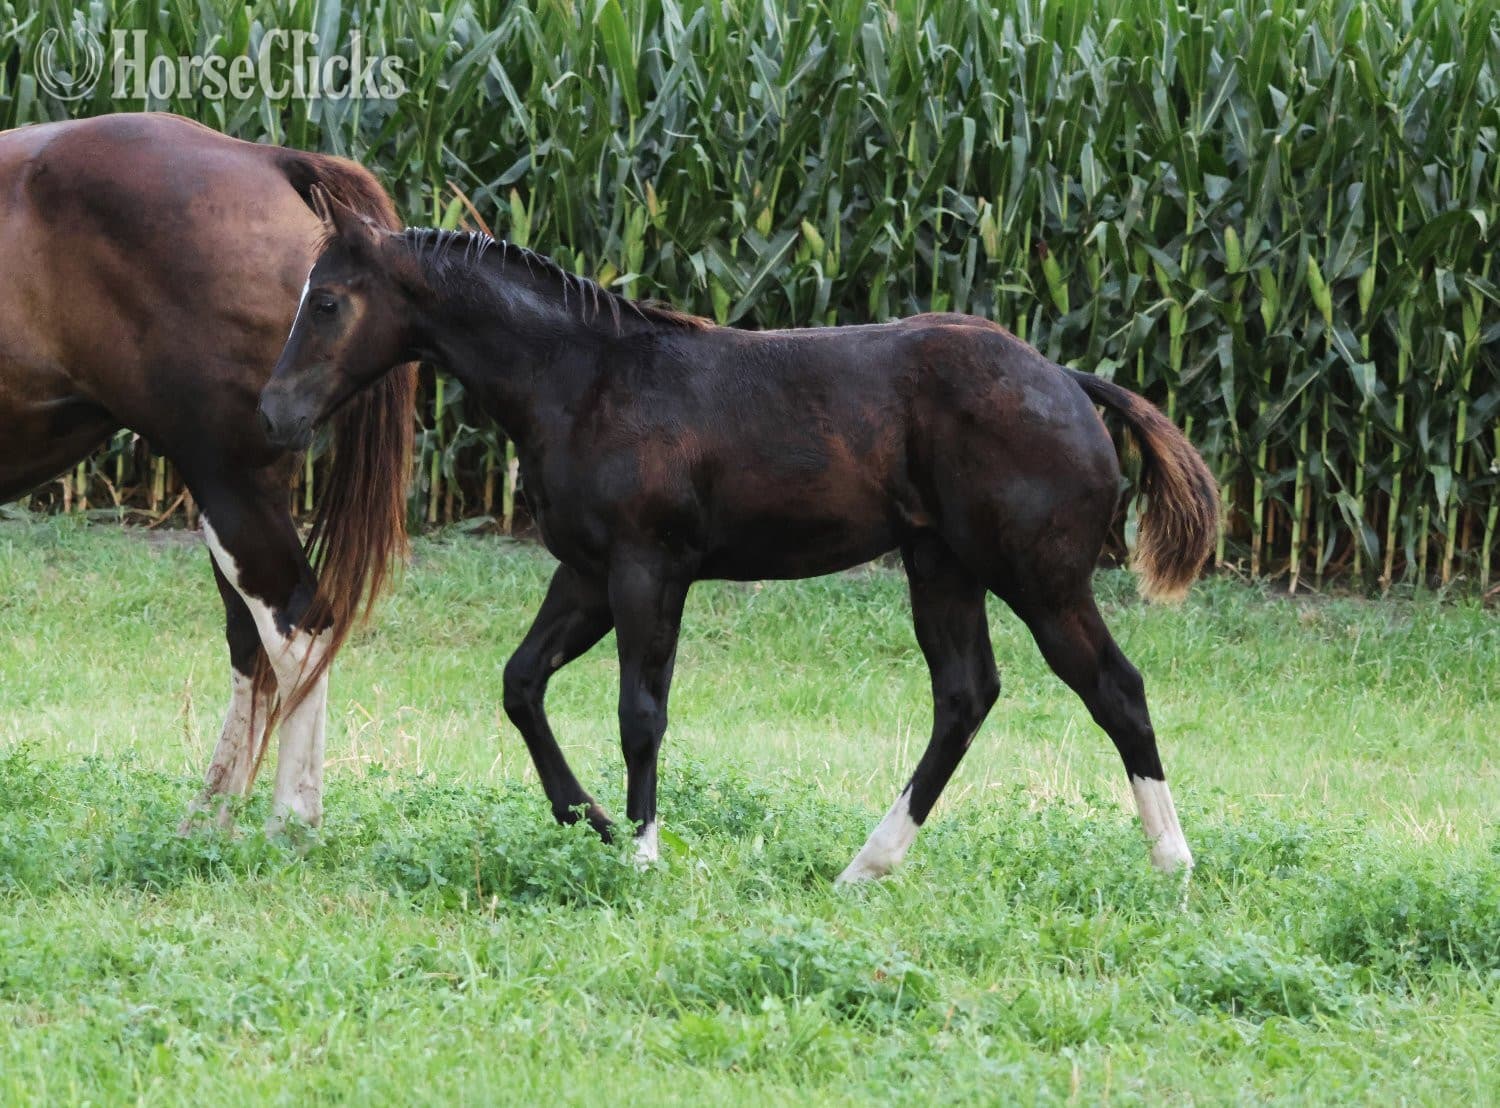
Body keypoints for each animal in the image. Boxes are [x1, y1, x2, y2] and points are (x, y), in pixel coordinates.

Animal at [0, 114, 413, 831]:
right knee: (253, 646)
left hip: (231, 485)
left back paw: (290, 823)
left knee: (298, 631)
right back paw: (213, 817)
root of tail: (266, 159)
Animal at [259, 196, 1219, 881]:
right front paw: (590, 822)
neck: (585, 380)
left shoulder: (649, 569)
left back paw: (1173, 864)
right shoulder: (586, 572)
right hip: (941, 567)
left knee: (1113, 688)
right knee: (966, 695)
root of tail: (1068, 380)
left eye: (330, 300)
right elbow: (521, 684)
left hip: (1039, 577)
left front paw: (643, 854)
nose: (274, 414)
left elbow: (640, 712)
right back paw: (866, 865)